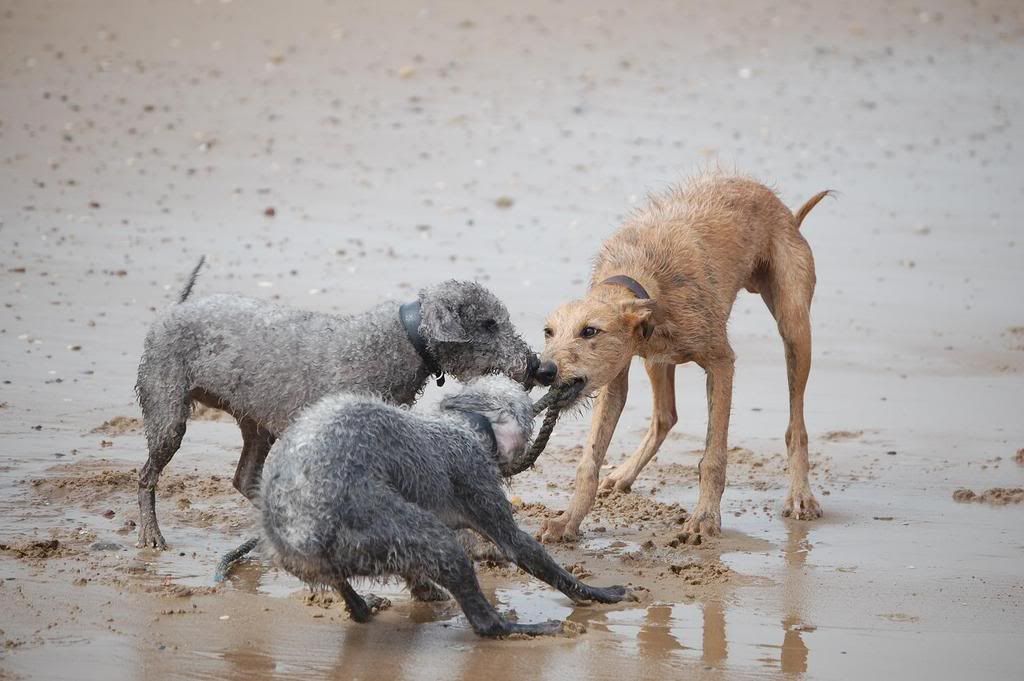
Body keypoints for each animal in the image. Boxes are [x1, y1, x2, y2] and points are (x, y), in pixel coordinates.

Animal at [136, 258, 544, 548]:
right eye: (489, 323)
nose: (540, 366)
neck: (405, 338)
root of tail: (174, 310)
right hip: (167, 412)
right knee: (146, 476)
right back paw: (151, 536)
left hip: (255, 423)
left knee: (244, 478)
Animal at [262, 374, 630, 634]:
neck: (466, 425)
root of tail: (299, 534)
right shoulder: (477, 478)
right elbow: (524, 551)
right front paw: (599, 592)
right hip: (410, 534)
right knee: (484, 624)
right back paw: (525, 628)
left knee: (351, 597)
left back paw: (366, 606)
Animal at [536, 174, 831, 540]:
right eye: (548, 332)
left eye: (590, 331)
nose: (543, 371)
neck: (642, 275)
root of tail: (786, 212)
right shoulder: (613, 379)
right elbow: (589, 461)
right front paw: (568, 520)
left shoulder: (721, 363)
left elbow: (713, 456)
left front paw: (704, 517)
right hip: (656, 361)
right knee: (665, 417)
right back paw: (624, 474)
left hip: (795, 328)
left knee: (796, 425)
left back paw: (801, 496)